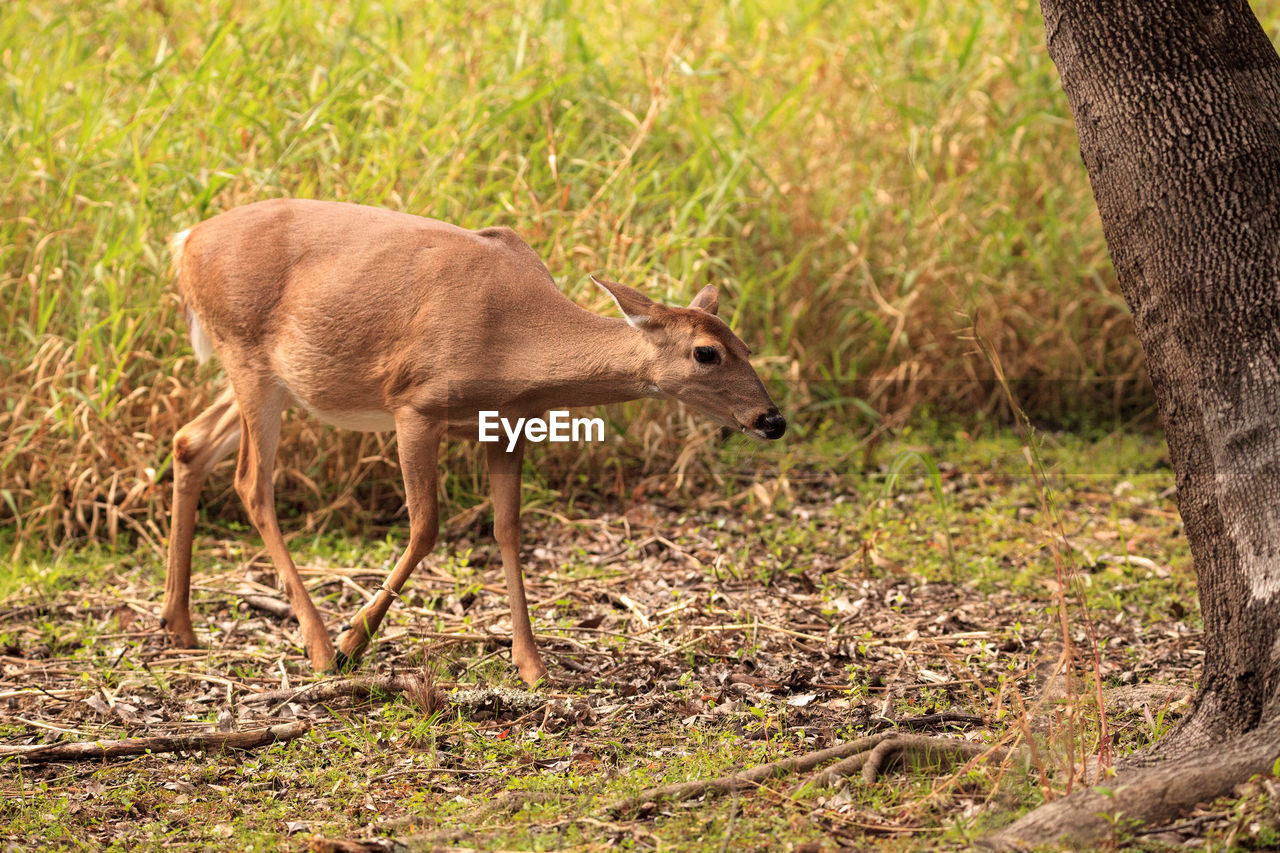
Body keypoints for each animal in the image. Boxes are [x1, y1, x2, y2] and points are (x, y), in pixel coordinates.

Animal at [160, 195, 778, 681]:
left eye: (746, 345)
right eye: (706, 352)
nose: (773, 420)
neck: (512, 339)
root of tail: (185, 242)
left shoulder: (507, 423)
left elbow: (507, 529)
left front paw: (531, 665)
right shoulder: (414, 404)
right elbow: (426, 526)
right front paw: (354, 640)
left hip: (272, 380)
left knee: (190, 441)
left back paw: (179, 625)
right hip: (248, 359)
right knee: (250, 483)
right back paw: (317, 645)